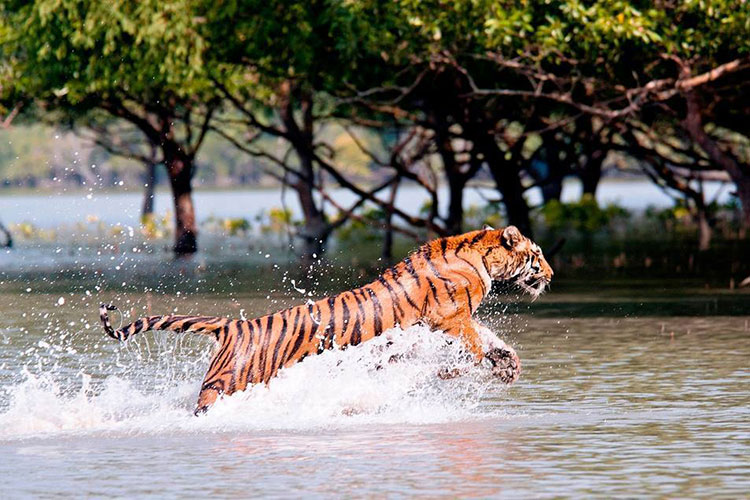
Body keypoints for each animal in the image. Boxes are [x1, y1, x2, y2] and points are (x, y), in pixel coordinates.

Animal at [100, 227, 556, 414]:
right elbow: (472, 346)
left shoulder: (450, 322)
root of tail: (233, 326)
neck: (481, 253)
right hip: (226, 384)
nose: (551, 275)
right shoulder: (448, 318)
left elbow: (487, 339)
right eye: (537, 254)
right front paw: (480, 367)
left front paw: (507, 364)